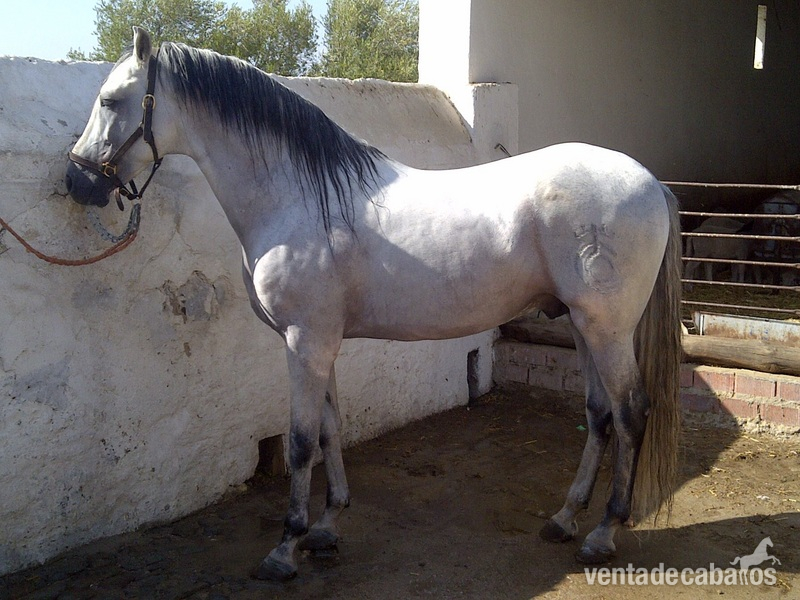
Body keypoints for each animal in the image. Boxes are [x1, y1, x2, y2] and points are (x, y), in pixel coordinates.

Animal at [64, 28, 682, 581]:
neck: (297, 196)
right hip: (581, 324)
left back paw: (603, 533)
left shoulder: (305, 342)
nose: (77, 180)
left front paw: (285, 547)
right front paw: (326, 527)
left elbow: (299, 443)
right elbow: (329, 430)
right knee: (599, 414)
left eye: (111, 101)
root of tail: (651, 183)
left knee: (630, 412)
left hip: (607, 328)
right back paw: (564, 518)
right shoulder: (319, 343)